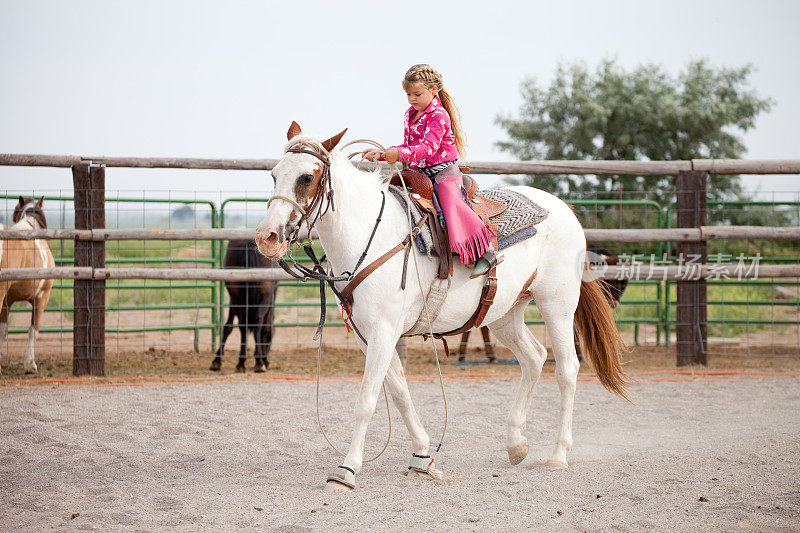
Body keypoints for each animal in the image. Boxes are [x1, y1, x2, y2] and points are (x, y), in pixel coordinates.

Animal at [209, 239, 278, 372]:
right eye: (270, 338)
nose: (267, 358)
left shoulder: (233, 299)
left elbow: (228, 326)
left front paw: (217, 360)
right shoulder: (271, 299)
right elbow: (266, 327)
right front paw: (263, 360)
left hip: (237, 296)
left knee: (242, 324)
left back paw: (240, 362)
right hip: (264, 296)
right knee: (258, 321)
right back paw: (259, 362)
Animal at [253, 122, 628, 488]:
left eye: (307, 177)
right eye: (273, 174)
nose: (266, 238)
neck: (369, 237)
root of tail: (564, 209)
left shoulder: (384, 331)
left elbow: (367, 400)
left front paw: (346, 470)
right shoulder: (367, 335)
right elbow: (400, 393)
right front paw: (422, 456)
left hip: (557, 303)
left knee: (566, 369)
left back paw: (558, 454)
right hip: (505, 313)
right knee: (534, 358)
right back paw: (516, 444)